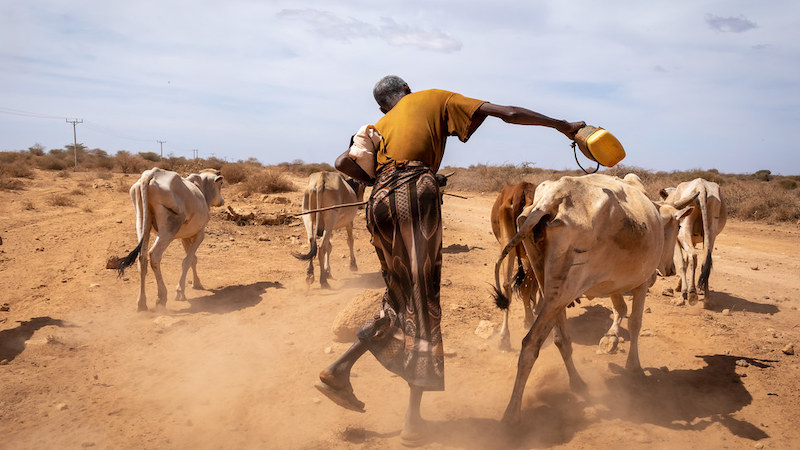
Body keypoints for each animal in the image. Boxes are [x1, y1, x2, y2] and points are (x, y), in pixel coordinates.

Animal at [115, 167, 223, 312]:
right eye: (221, 184)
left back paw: (142, 303)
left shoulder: (185, 237)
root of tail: (150, 175)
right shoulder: (200, 234)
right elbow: (187, 261)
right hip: (168, 229)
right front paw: (180, 292)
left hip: (142, 223)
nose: (222, 201)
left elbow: (192, 260)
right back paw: (161, 298)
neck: (201, 189)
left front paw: (196, 283)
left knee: (142, 258)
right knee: (154, 255)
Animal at [488, 181, 536, 350]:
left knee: (507, 284)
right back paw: (528, 320)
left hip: (507, 244)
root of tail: (520, 190)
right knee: (524, 286)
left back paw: (504, 337)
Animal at [660, 178, 728, 308]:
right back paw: (706, 299)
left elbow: (682, 263)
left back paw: (691, 293)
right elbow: (687, 262)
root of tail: (701, 186)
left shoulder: (676, 240)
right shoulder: (693, 240)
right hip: (711, 232)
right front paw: (680, 286)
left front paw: (683, 292)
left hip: (685, 229)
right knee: (705, 261)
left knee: (693, 255)